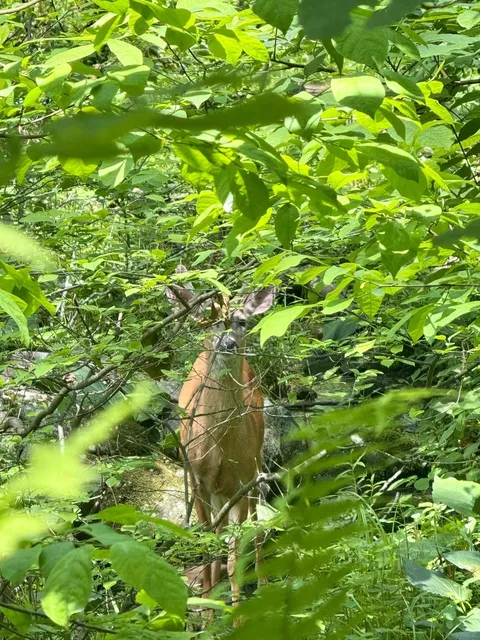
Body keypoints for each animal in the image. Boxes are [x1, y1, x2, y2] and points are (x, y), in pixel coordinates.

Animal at [166, 280, 275, 606]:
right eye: (210, 322)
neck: (219, 450)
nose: (228, 344)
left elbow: (235, 552)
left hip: (254, 467)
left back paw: (262, 584)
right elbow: (206, 546)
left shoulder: (242, 479)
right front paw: (208, 604)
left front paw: (236, 611)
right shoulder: (197, 481)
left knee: (253, 526)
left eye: (242, 321)